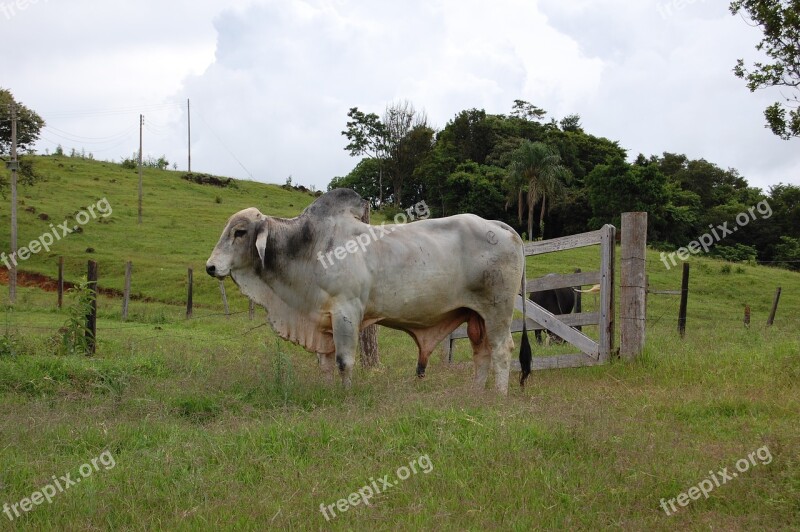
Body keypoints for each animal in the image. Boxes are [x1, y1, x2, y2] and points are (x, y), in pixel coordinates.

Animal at [206, 189, 528, 392]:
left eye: (240, 232)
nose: (210, 267)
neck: (308, 245)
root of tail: (499, 225)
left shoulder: (346, 311)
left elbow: (344, 362)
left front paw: (346, 397)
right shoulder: (322, 323)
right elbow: (325, 364)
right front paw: (328, 393)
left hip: (498, 310)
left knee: (501, 350)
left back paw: (498, 396)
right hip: (476, 316)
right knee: (481, 352)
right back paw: (477, 394)